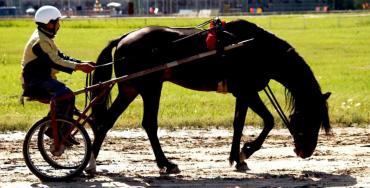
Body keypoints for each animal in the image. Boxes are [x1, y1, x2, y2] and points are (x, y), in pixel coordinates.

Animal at [87, 19, 332, 173]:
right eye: (312, 118)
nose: (307, 151)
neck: (254, 48)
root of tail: (124, 37)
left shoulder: (243, 93)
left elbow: (238, 124)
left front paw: (237, 158)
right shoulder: (247, 90)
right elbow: (269, 121)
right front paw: (247, 151)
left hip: (130, 89)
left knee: (106, 123)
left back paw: (91, 163)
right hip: (150, 87)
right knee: (148, 124)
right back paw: (166, 163)